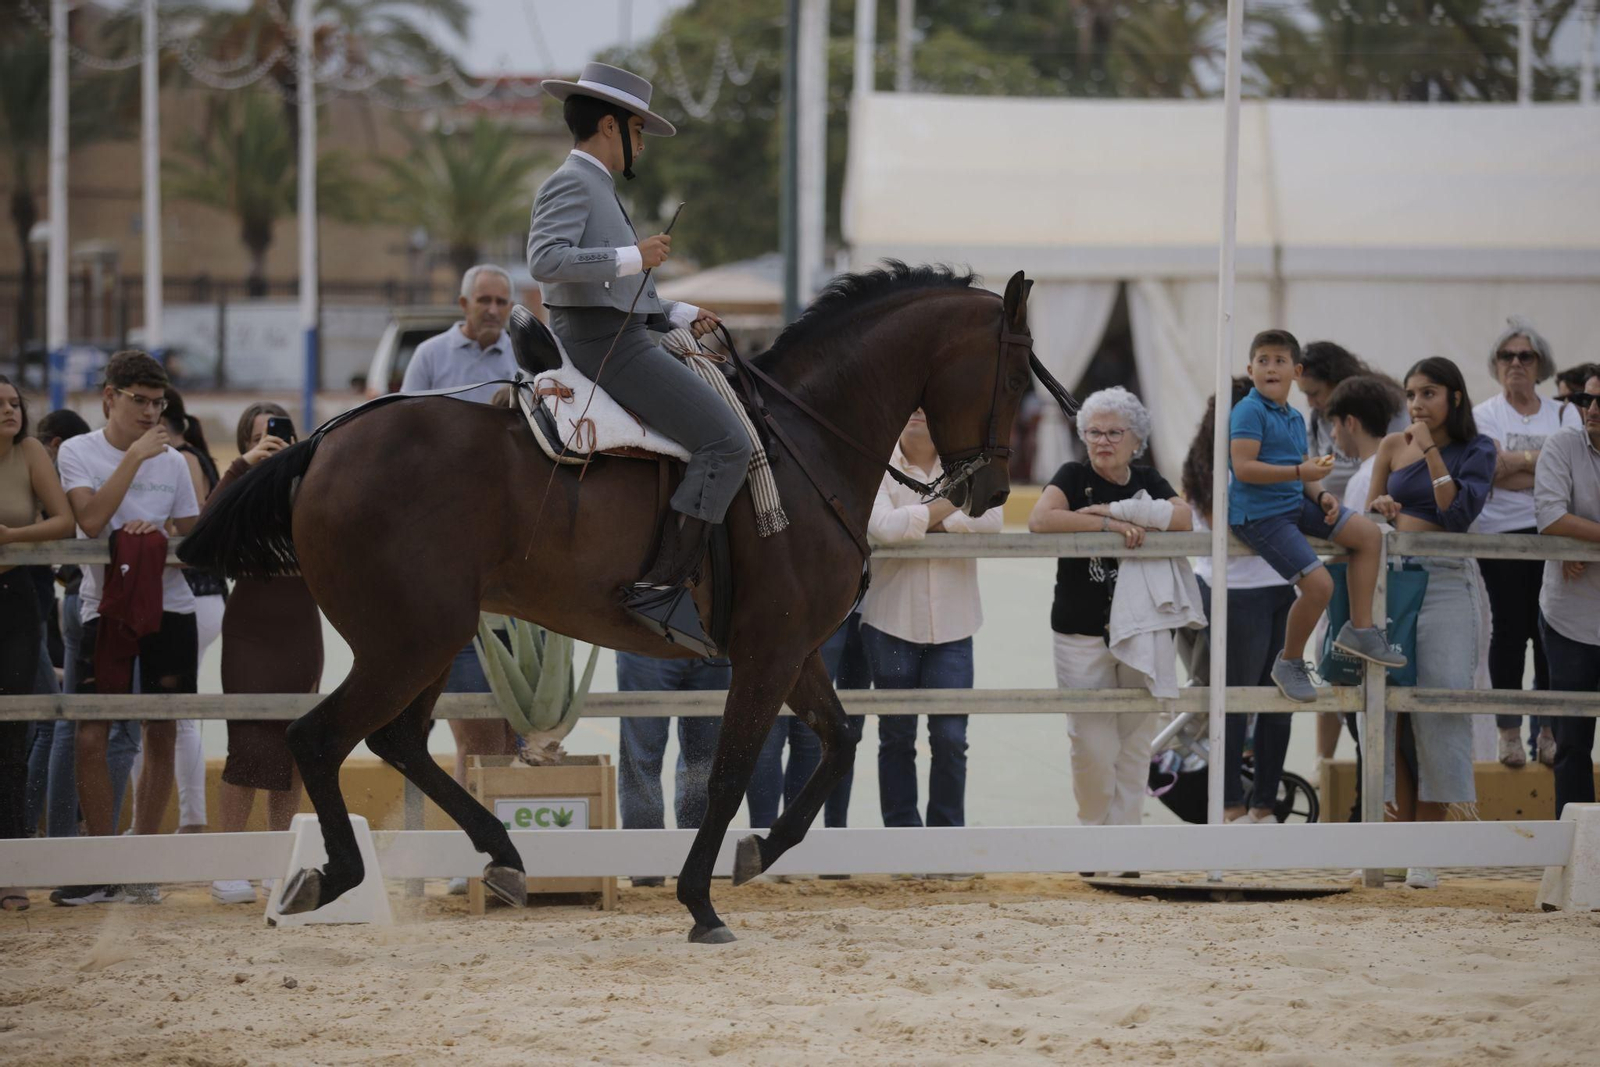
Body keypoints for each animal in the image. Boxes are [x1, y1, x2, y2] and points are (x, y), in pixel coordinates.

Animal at [178, 263, 1040, 943]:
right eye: (1018, 377)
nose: (993, 490)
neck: (806, 441)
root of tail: (322, 442)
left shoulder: (793, 653)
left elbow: (839, 742)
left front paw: (760, 849)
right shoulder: (768, 653)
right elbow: (728, 775)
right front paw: (701, 900)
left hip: (428, 638)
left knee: (396, 741)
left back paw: (503, 857)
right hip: (410, 640)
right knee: (319, 738)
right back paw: (329, 875)